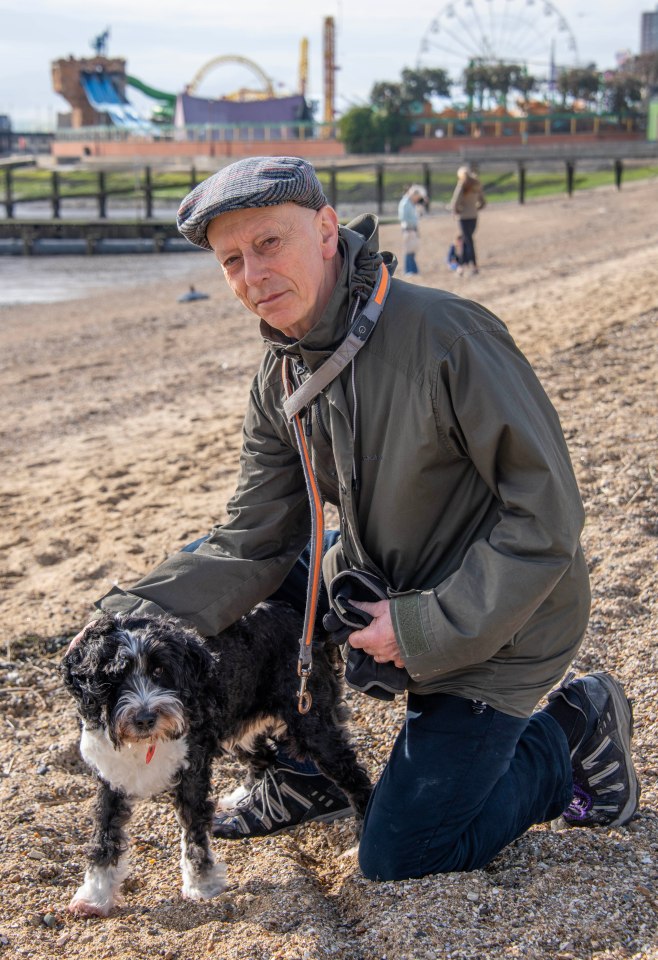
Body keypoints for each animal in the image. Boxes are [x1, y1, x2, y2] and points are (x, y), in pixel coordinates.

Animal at [63, 608, 372, 916]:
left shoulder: (192, 773)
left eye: (159, 670)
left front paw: (201, 885)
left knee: (354, 777)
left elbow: (194, 831)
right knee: (265, 757)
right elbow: (104, 835)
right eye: (114, 678)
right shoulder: (111, 777)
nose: (145, 718)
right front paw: (94, 895)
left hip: (310, 719)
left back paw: (360, 843)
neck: (146, 743)